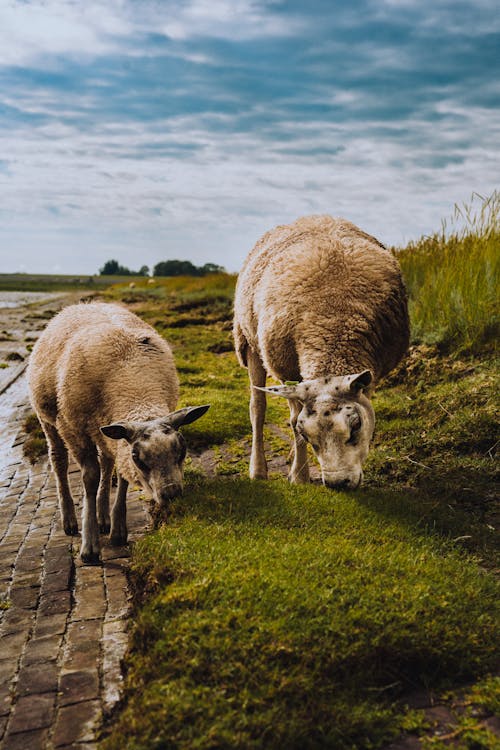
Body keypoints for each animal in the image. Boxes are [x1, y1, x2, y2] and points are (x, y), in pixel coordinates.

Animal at [26, 302, 210, 564]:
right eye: (138, 459)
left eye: (182, 452)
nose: (171, 493)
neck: (136, 389)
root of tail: (84, 304)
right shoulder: (75, 431)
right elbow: (89, 479)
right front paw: (90, 545)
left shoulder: (119, 435)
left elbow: (120, 476)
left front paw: (118, 529)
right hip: (50, 420)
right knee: (58, 461)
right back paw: (69, 519)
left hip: (104, 432)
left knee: (107, 462)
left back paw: (104, 517)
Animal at [232, 214, 408, 490]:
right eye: (308, 434)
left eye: (356, 426)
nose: (339, 483)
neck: (334, 326)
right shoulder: (286, 369)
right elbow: (293, 421)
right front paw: (299, 475)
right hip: (248, 342)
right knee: (257, 408)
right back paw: (258, 469)